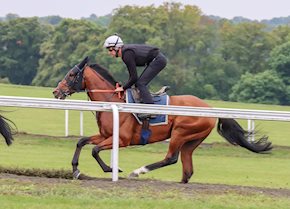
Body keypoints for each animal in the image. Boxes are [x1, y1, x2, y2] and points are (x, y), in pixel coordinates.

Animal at [52, 57, 272, 183]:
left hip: (180, 133)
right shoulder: (105, 135)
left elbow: (95, 150)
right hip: (191, 141)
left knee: (171, 158)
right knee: (187, 169)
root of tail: (211, 109)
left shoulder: (122, 139)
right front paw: (76, 171)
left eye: (71, 74)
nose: (56, 92)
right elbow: (82, 142)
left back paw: (138, 171)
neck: (112, 101)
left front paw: (112, 168)